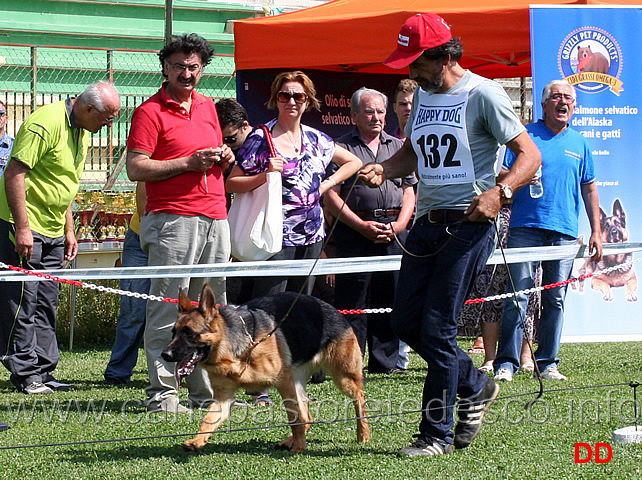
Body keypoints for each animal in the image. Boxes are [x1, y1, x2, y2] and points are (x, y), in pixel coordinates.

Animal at [161, 284, 370, 454]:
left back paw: (363, 434)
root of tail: (333, 309)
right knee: (307, 416)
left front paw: (300, 447)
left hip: (342, 377)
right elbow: (209, 419)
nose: (165, 354)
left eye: (189, 333)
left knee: (358, 397)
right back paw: (289, 441)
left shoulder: (284, 383)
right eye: (173, 333)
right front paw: (198, 440)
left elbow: (294, 419)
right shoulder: (223, 397)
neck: (232, 351)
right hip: (299, 382)